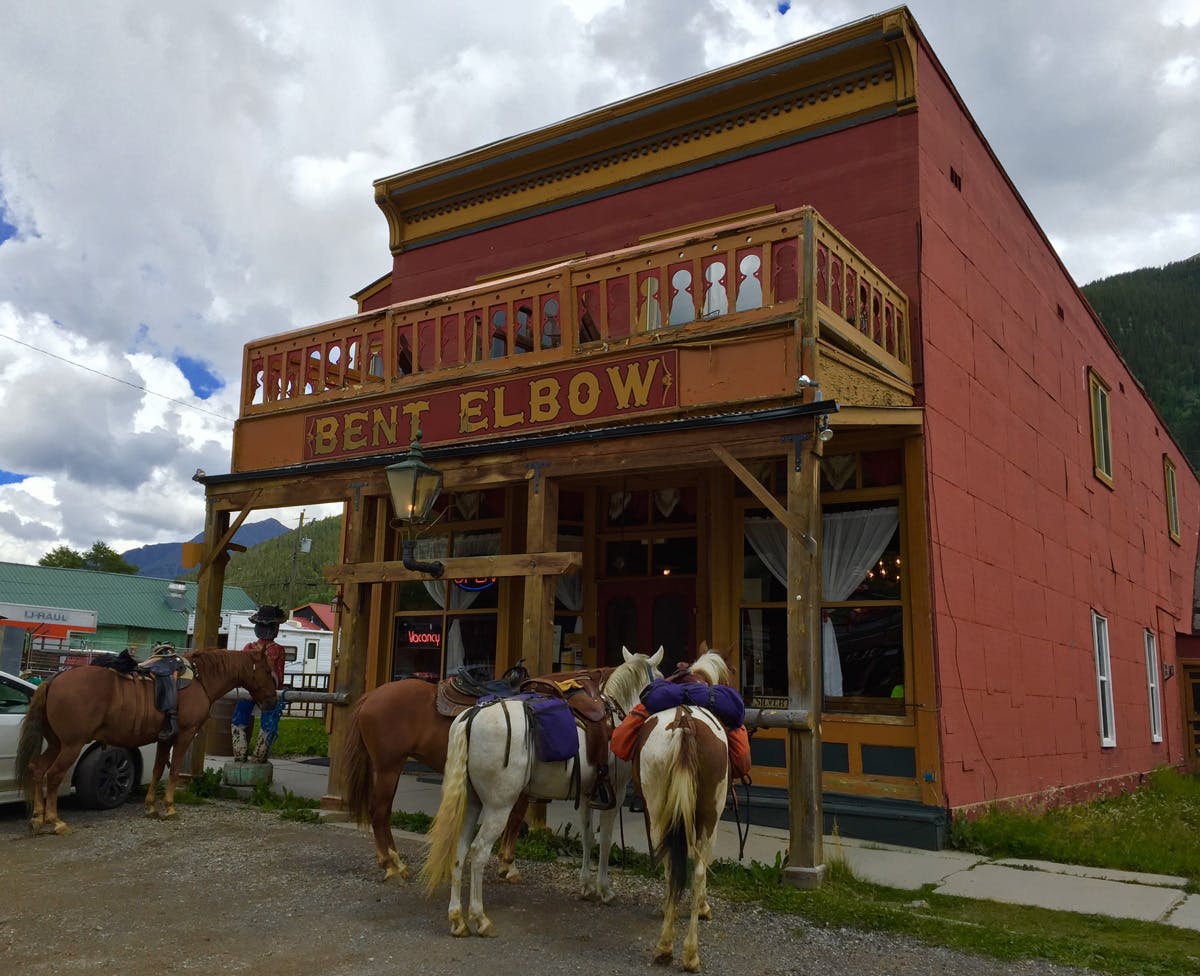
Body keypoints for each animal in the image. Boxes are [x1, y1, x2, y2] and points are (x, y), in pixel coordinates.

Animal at [17, 648, 279, 830]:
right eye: (267, 671)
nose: (272, 701)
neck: (200, 680)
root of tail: (52, 681)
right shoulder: (184, 735)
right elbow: (173, 771)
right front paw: (169, 807)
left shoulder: (165, 738)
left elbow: (157, 769)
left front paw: (151, 806)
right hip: (71, 745)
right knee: (53, 775)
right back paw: (55, 821)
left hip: (56, 743)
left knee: (37, 768)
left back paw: (37, 818)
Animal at [343, 677, 530, 883]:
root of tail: (369, 697)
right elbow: (515, 819)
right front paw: (509, 865)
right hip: (388, 769)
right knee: (378, 811)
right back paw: (390, 866)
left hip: (392, 770)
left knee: (385, 812)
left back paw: (397, 862)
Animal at [633, 643, 734, 969]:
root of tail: (684, 723)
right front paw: (701, 907)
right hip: (707, 815)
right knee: (695, 870)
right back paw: (685, 951)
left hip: (658, 812)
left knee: (672, 865)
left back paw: (671, 945)